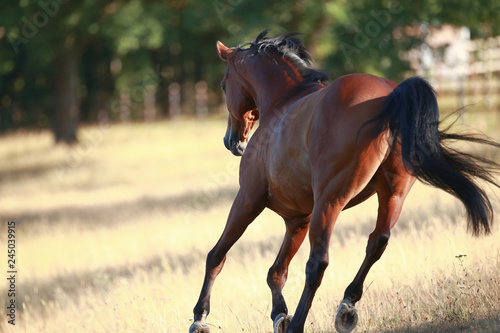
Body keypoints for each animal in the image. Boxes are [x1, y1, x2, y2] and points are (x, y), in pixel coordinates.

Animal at [189, 29, 498, 330]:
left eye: (223, 85)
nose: (232, 142)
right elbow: (277, 272)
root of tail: (389, 96)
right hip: (392, 195)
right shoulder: (298, 218)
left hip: (330, 200)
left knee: (318, 263)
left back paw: (299, 324)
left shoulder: (249, 200)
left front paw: (200, 318)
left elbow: (217, 256)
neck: (283, 102)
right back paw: (347, 306)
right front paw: (279, 314)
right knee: (377, 242)